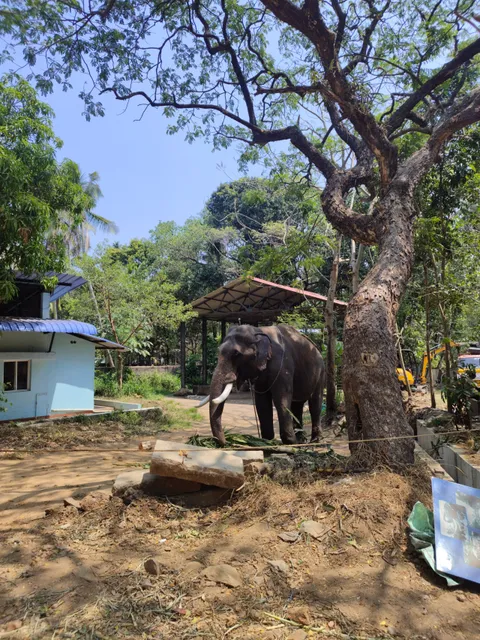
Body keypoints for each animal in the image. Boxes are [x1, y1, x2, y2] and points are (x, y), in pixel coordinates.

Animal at [197, 324, 325, 446]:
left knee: (315, 404)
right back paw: (301, 440)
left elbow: (281, 398)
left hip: (320, 372)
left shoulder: (283, 365)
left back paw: (314, 440)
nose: (226, 441)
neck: (258, 331)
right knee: (297, 405)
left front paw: (290, 442)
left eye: (237, 354)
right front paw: (267, 441)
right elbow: (262, 401)